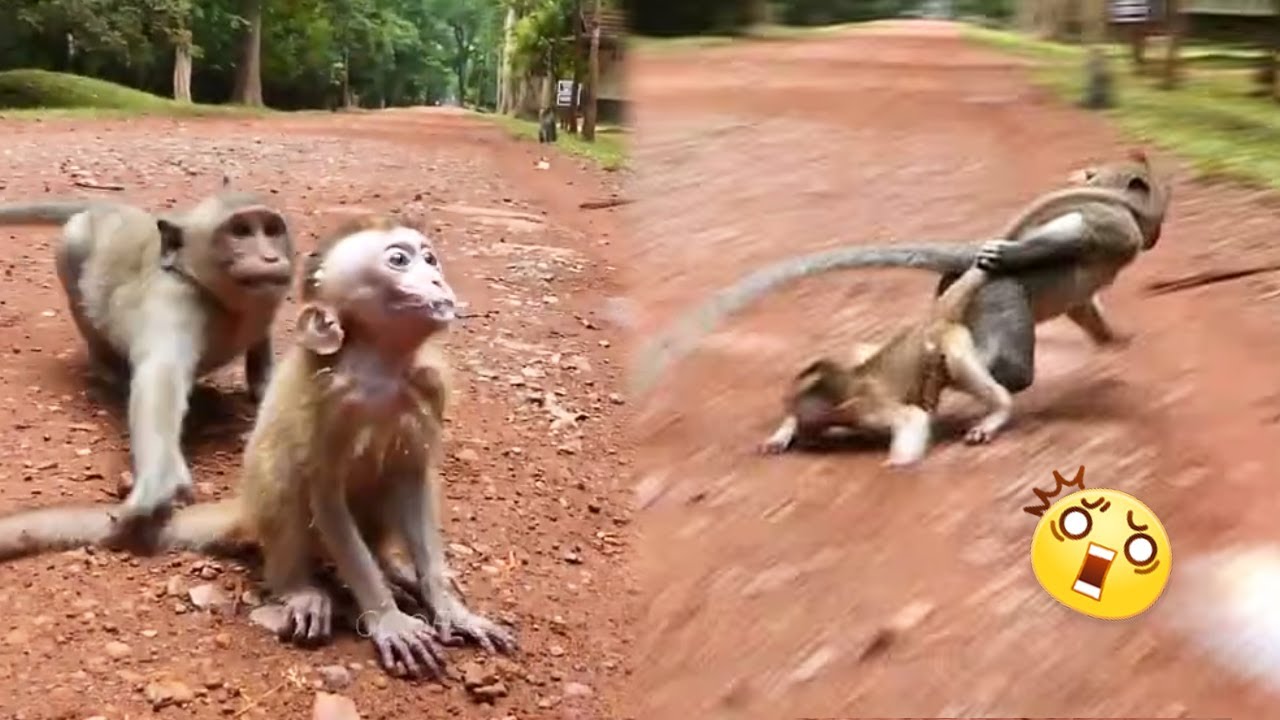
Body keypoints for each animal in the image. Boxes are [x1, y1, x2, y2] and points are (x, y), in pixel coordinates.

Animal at [0, 189, 296, 530]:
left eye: (271, 230)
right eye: (241, 232)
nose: (270, 258)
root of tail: (113, 209)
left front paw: (265, 386)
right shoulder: (175, 299)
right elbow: (160, 375)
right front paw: (159, 480)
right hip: (75, 247)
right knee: (76, 257)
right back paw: (107, 368)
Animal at [629, 151, 1172, 398]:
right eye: (1158, 208)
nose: (1159, 236)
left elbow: (1084, 307)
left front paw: (1113, 339)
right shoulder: (1116, 224)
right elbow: (1073, 231)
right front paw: (1004, 251)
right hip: (999, 300)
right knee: (1014, 356)